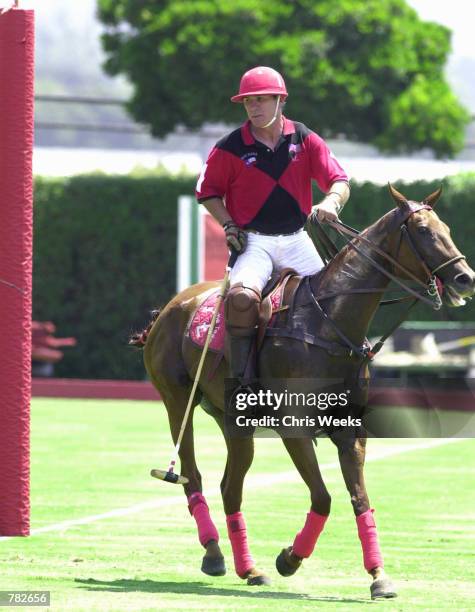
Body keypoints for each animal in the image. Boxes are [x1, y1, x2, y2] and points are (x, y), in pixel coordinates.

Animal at [134, 185, 475, 596]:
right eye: (423, 231)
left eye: (447, 228)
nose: (466, 278)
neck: (330, 323)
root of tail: (169, 307)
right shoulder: (294, 426)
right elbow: (324, 497)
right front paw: (289, 559)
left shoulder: (350, 429)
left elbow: (360, 499)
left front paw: (379, 576)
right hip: (176, 401)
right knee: (193, 475)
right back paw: (214, 553)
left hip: (234, 420)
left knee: (230, 486)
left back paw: (249, 568)